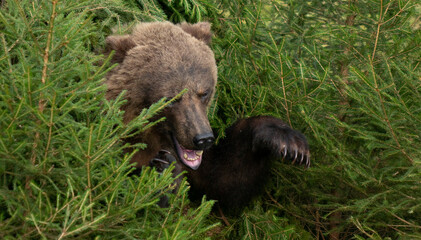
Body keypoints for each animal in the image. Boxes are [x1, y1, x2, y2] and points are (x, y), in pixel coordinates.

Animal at [105, 22, 308, 210]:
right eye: (172, 98)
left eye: (204, 92)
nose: (203, 138)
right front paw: (163, 171)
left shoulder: (200, 170)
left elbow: (225, 184)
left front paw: (291, 144)